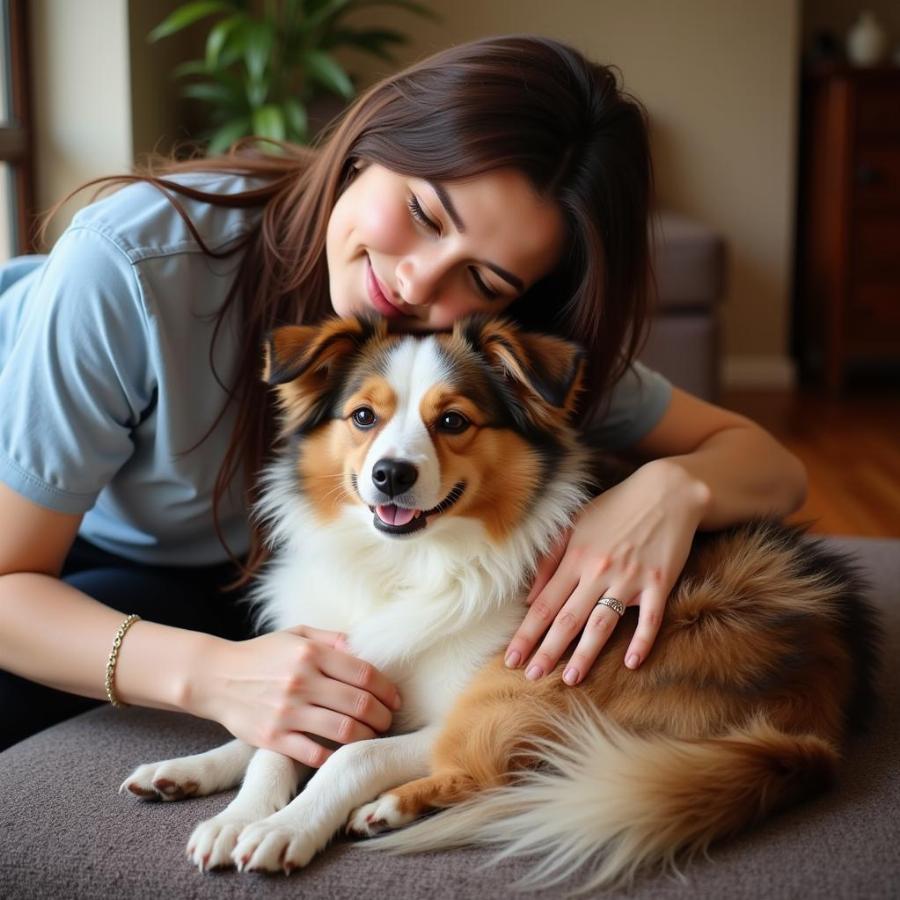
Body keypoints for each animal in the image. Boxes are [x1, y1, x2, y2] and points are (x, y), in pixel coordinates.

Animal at [121, 314, 880, 884]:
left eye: (454, 422)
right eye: (363, 416)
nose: (390, 475)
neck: (404, 566)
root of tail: (815, 728)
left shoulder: (457, 699)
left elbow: (348, 756)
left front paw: (285, 828)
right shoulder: (322, 671)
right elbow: (270, 740)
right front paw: (228, 807)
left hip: (557, 674)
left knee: (487, 773)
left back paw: (390, 808)